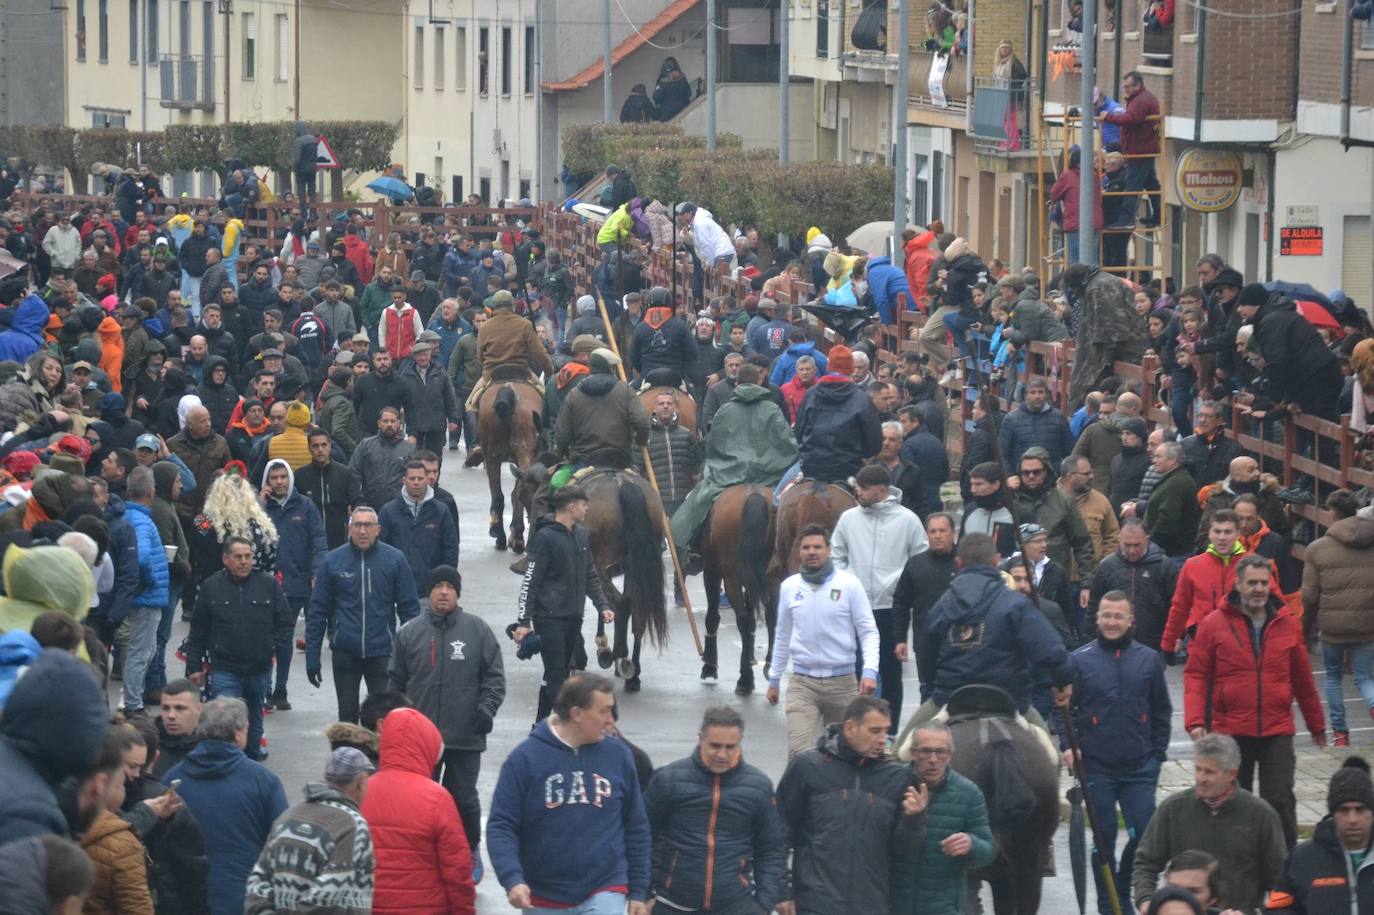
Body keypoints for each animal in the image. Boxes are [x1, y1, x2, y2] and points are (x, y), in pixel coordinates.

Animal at [469, 362, 538, 549]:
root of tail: (509, 389)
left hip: (493, 453)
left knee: (498, 495)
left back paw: (499, 533)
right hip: (524, 452)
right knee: (520, 489)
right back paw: (518, 536)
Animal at [513, 458, 667, 686]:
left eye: (522, 494)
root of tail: (622, 483)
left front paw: (576, 659)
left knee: (621, 603)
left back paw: (620, 655)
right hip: (636, 565)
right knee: (638, 607)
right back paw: (632, 672)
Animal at [703, 483, 780, 692]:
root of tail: (753, 492)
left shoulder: (712, 571)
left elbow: (712, 616)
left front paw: (709, 666)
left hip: (731, 578)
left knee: (743, 620)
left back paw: (745, 679)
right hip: (772, 576)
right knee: (772, 616)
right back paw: (769, 664)